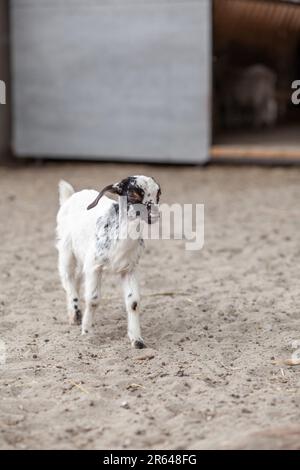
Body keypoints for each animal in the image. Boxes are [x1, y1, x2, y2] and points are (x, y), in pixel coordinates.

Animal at [55, 174, 161, 346]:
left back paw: (75, 315)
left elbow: (133, 302)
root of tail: (70, 196)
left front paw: (137, 340)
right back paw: (75, 313)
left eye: (158, 193)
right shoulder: (94, 266)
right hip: (66, 250)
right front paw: (87, 332)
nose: (155, 216)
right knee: (68, 278)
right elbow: (93, 299)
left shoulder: (129, 268)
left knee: (76, 279)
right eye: (133, 194)